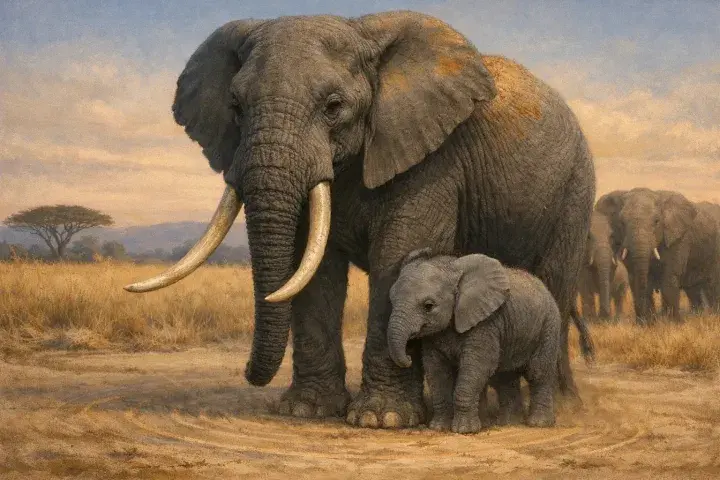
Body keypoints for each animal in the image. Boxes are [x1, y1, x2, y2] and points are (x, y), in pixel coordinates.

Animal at [387, 249, 560, 433]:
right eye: (391, 300)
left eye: (429, 306)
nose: (408, 358)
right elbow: (436, 369)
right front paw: (439, 427)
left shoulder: (486, 322)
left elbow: (478, 365)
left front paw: (464, 430)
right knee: (505, 378)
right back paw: (508, 423)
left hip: (549, 326)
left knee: (538, 372)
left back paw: (538, 424)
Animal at [596, 188, 720, 324]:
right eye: (622, 222)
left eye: (656, 221)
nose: (641, 319)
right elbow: (635, 277)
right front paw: (648, 324)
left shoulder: (678, 239)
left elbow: (669, 277)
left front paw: (671, 323)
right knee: (693, 290)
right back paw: (697, 316)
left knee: (712, 286)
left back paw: (712, 316)